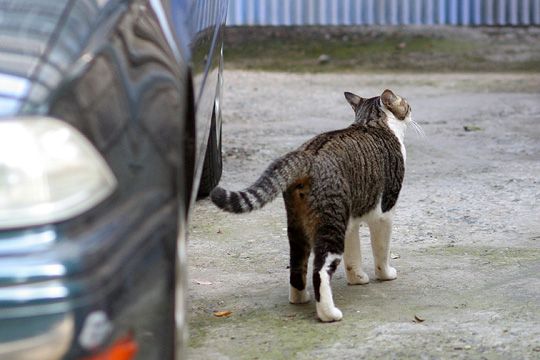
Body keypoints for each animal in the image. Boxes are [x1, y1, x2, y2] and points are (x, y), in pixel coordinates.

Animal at [211, 88, 414, 322]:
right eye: (407, 105)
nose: (411, 110)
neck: (372, 122)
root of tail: (308, 155)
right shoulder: (384, 212)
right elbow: (381, 250)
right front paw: (385, 274)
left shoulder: (351, 220)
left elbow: (353, 255)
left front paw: (357, 278)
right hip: (331, 224)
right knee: (320, 271)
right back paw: (329, 313)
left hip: (299, 225)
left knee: (297, 266)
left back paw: (300, 298)